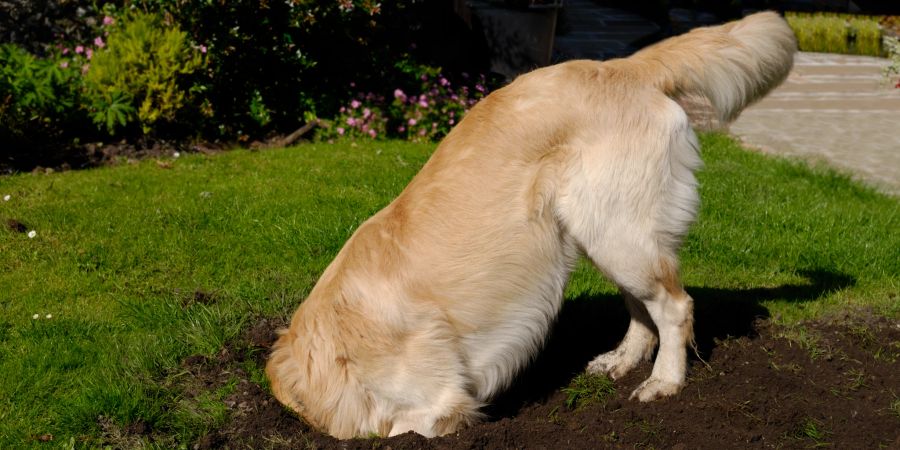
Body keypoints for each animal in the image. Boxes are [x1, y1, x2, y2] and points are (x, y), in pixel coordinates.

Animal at [266, 11, 796, 440]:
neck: (333, 344)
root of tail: (620, 66)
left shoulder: (440, 402)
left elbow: (412, 426)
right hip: (606, 232)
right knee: (642, 309)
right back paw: (622, 361)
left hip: (617, 232)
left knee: (675, 306)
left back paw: (664, 381)